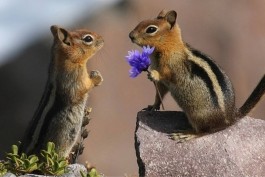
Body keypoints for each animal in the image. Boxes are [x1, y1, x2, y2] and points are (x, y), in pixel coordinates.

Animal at [129, 10, 264, 138]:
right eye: (142, 21)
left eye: (151, 29)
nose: (130, 36)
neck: (170, 47)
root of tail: (231, 118)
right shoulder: (163, 85)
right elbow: (159, 95)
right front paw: (152, 106)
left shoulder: (174, 67)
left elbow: (168, 74)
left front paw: (154, 74)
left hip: (197, 115)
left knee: (205, 131)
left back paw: (187, 134)